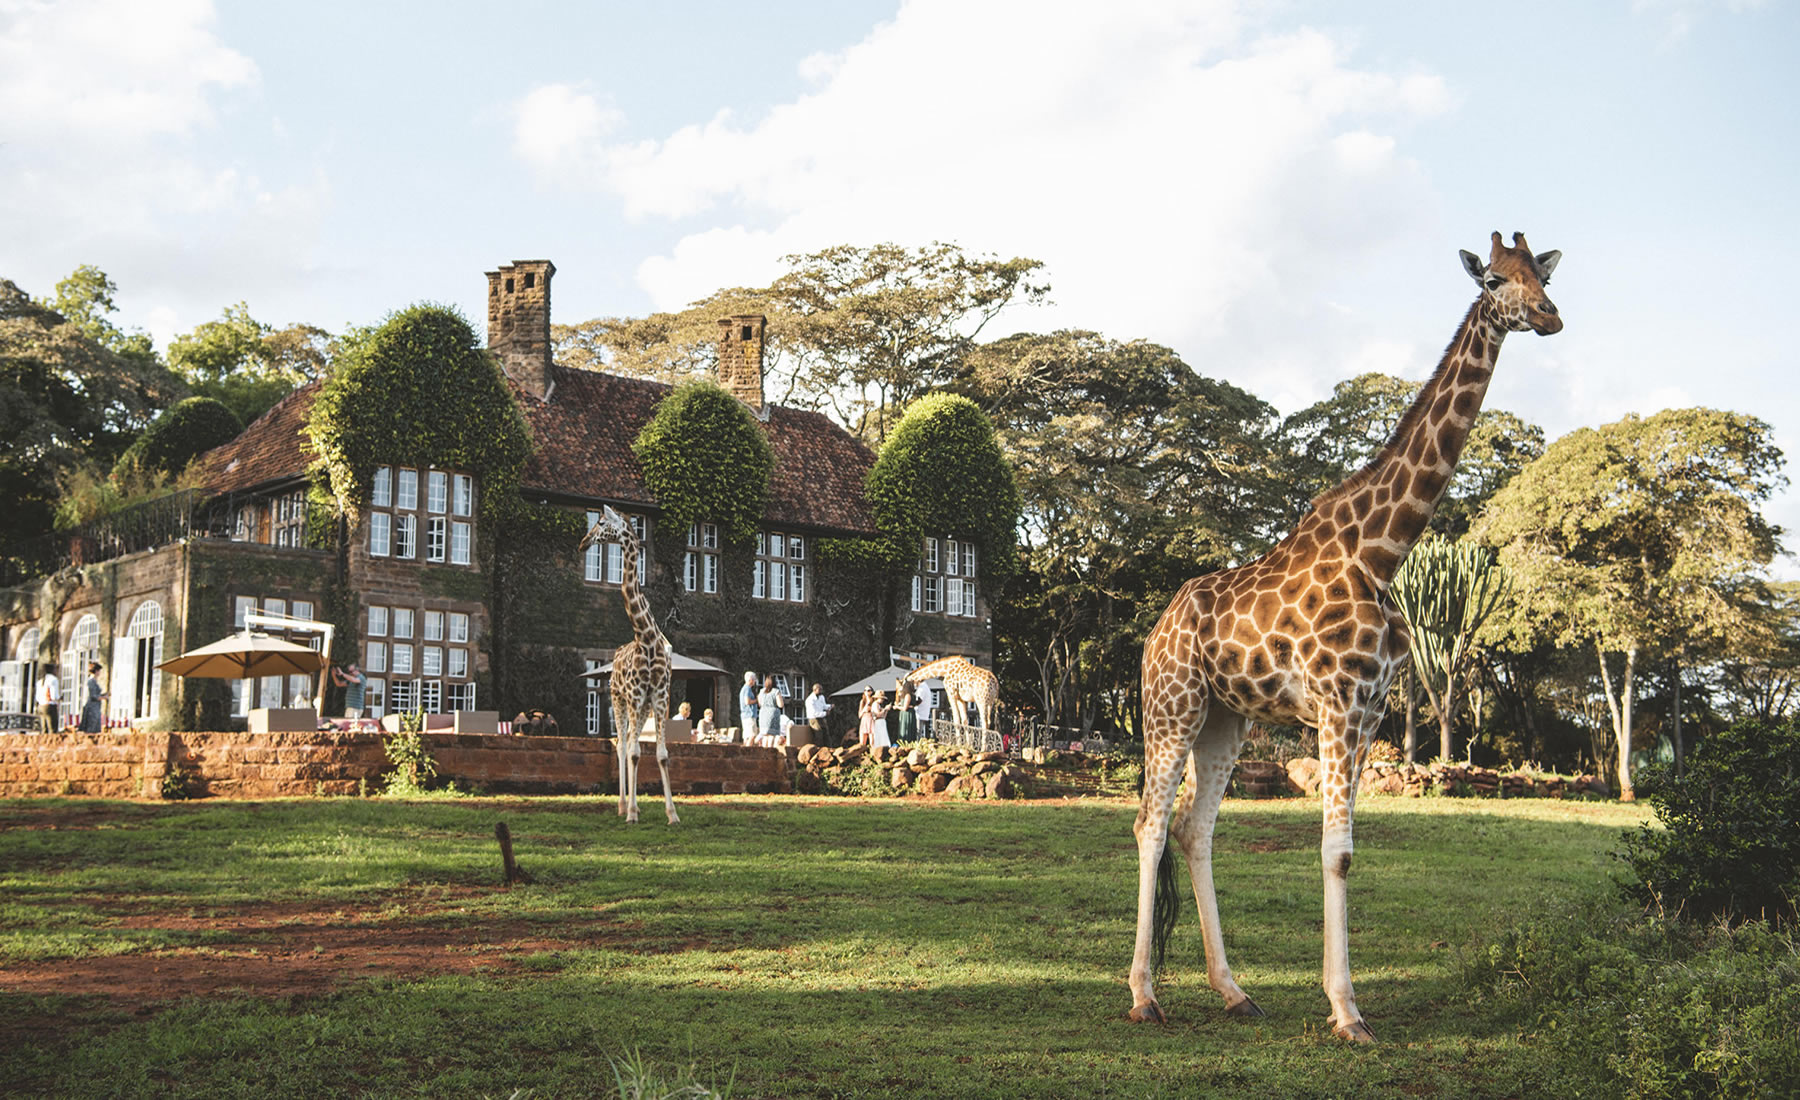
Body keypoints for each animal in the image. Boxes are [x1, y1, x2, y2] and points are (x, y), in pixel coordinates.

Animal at [580, 505, 679, 825]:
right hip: (618, 699)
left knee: (629, 743)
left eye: (600, 522)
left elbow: (661, 754)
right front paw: (633, 812)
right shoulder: (634, 695)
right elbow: (634, 752)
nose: (583, 542)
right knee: (622, 745)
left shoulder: (659, 696)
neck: (645, 637)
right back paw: (623, 806)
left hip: (642, 706)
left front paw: (672, 814)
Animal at [1127, 232, 1563, 1041]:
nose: (1550, 317)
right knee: (1149, 824)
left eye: (1542, 275)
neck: (1384, 551)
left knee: (1195, 831)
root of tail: (1156, 629)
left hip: (1228, 719)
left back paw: (1234, 992)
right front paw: (1346, 1011)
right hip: (1171, 706)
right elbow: (1334, 853)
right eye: (1494, 280)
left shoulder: (1369, 710)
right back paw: (1143, 995)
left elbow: (1347, 853)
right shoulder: (1335, 705)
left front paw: (1343, 1003)